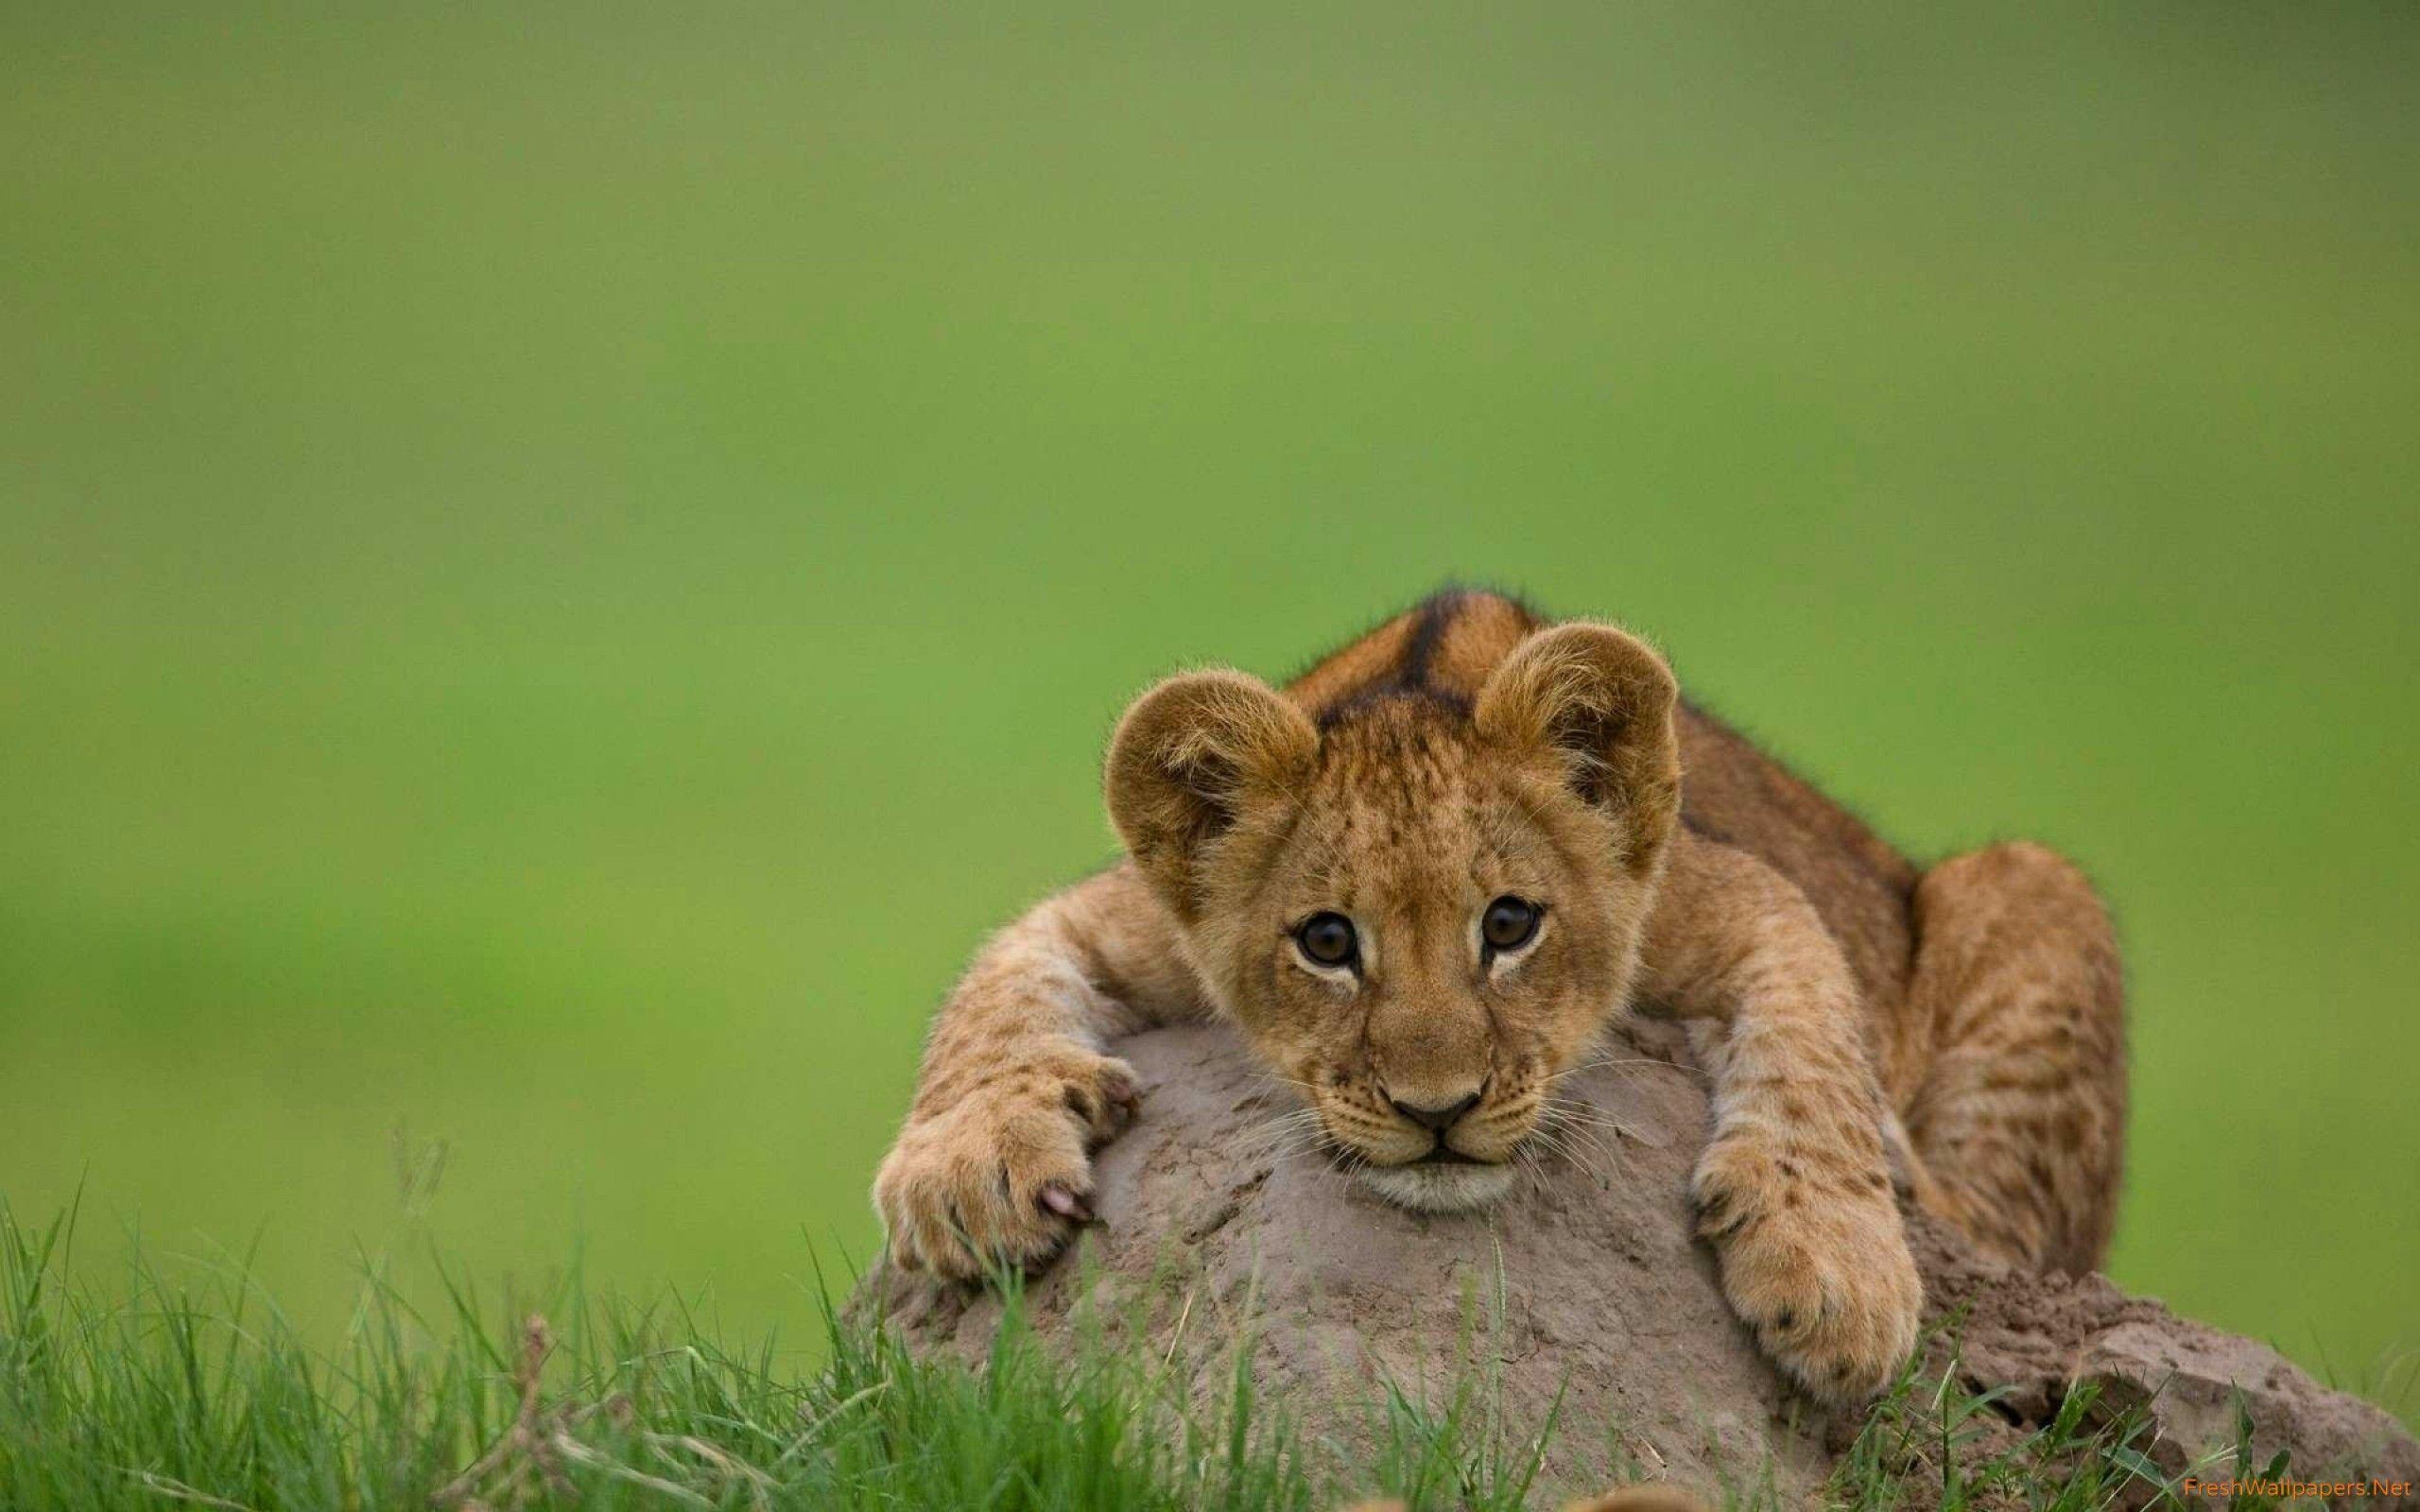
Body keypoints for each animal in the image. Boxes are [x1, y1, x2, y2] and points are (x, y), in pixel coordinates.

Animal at [872, 589, 2127, 1401]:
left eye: (1511, 925)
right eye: (1327, 940)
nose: (1439, 1111)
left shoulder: (1737, 890)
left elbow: (1815, 1041)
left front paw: (1833, 1265)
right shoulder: (1118, 914)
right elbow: (991, 990)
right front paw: (966, 1172)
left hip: (2035, 884)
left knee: (2008, 1234)